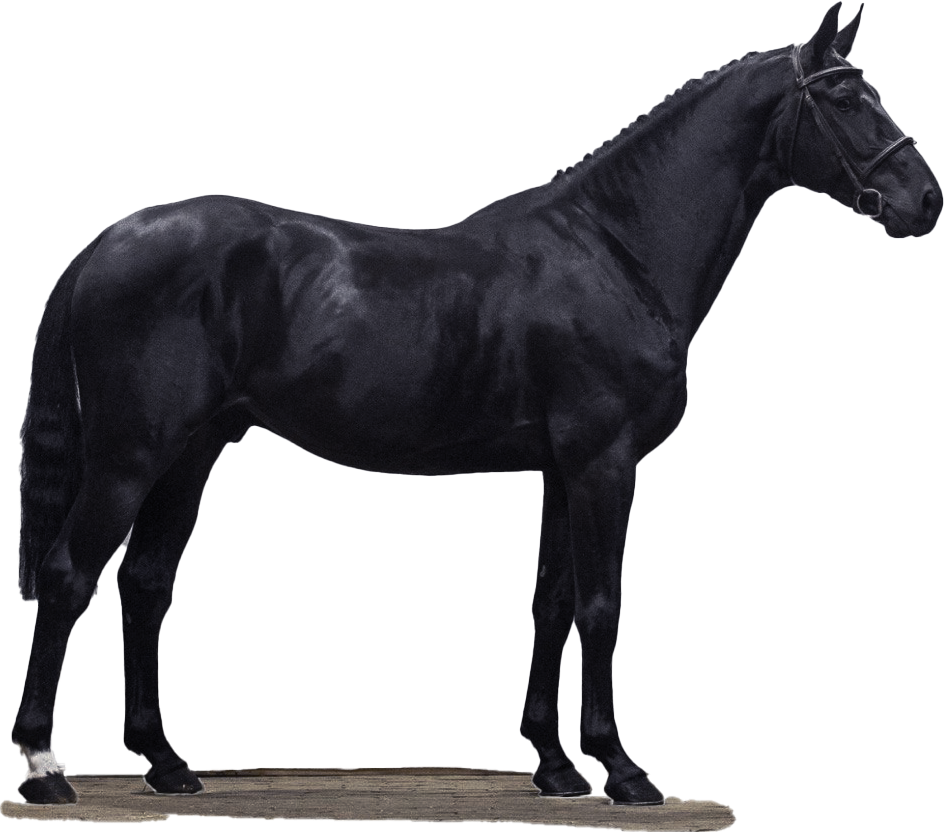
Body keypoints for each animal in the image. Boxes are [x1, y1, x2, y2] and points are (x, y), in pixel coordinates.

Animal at [13, 2, 940, 806]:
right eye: (846, 97)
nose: (925, 201)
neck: (614, 250)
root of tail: (108, 242)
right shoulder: (606, 463)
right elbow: (603, 608)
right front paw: (623, 771)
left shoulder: (564, 467)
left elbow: (552, 603)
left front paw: (557, 768)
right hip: (131, 455)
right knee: (69, 578)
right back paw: (43, 768)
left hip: (193, 451)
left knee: (145, 584)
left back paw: (167, 765)